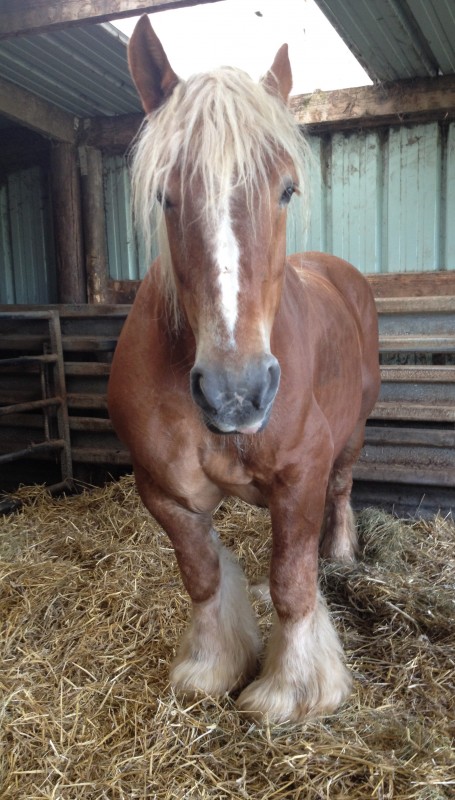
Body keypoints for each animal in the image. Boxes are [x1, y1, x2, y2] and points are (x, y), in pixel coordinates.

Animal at [108, 15, 382, 720]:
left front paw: (292, 688)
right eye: (165, 196)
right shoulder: (165, 493)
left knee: (341, 492)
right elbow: (203, 577)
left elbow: (293, 583)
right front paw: (210, 666)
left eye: (286, 189)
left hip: (353, 434)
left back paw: (340, 554)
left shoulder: (302, 474)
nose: (237, 394)